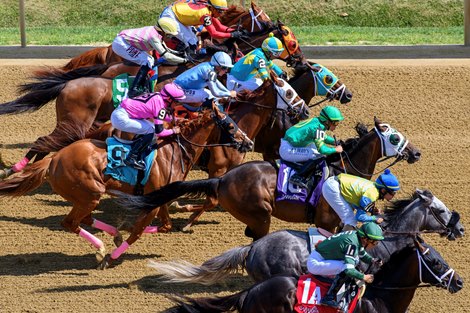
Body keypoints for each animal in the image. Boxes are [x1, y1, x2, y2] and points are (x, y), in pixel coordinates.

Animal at [0, 109, 253, 268]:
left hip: (86, 196)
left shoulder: (160, 199)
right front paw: (112, 258)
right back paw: (102, 247)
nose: (249, 143)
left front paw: (123, 235)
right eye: (230, 124)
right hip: (90, 194)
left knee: (85, 219)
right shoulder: (153, 201)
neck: (174, 152)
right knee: (71, 223)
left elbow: (164, 226)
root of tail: (53, 159)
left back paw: (113, 236)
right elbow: (138, 231)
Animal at [115, 116, 420, 238]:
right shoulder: (326, 220)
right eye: (394, 137)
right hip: (261, 214)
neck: (344, 169)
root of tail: (222, 180)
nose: (416, 152)